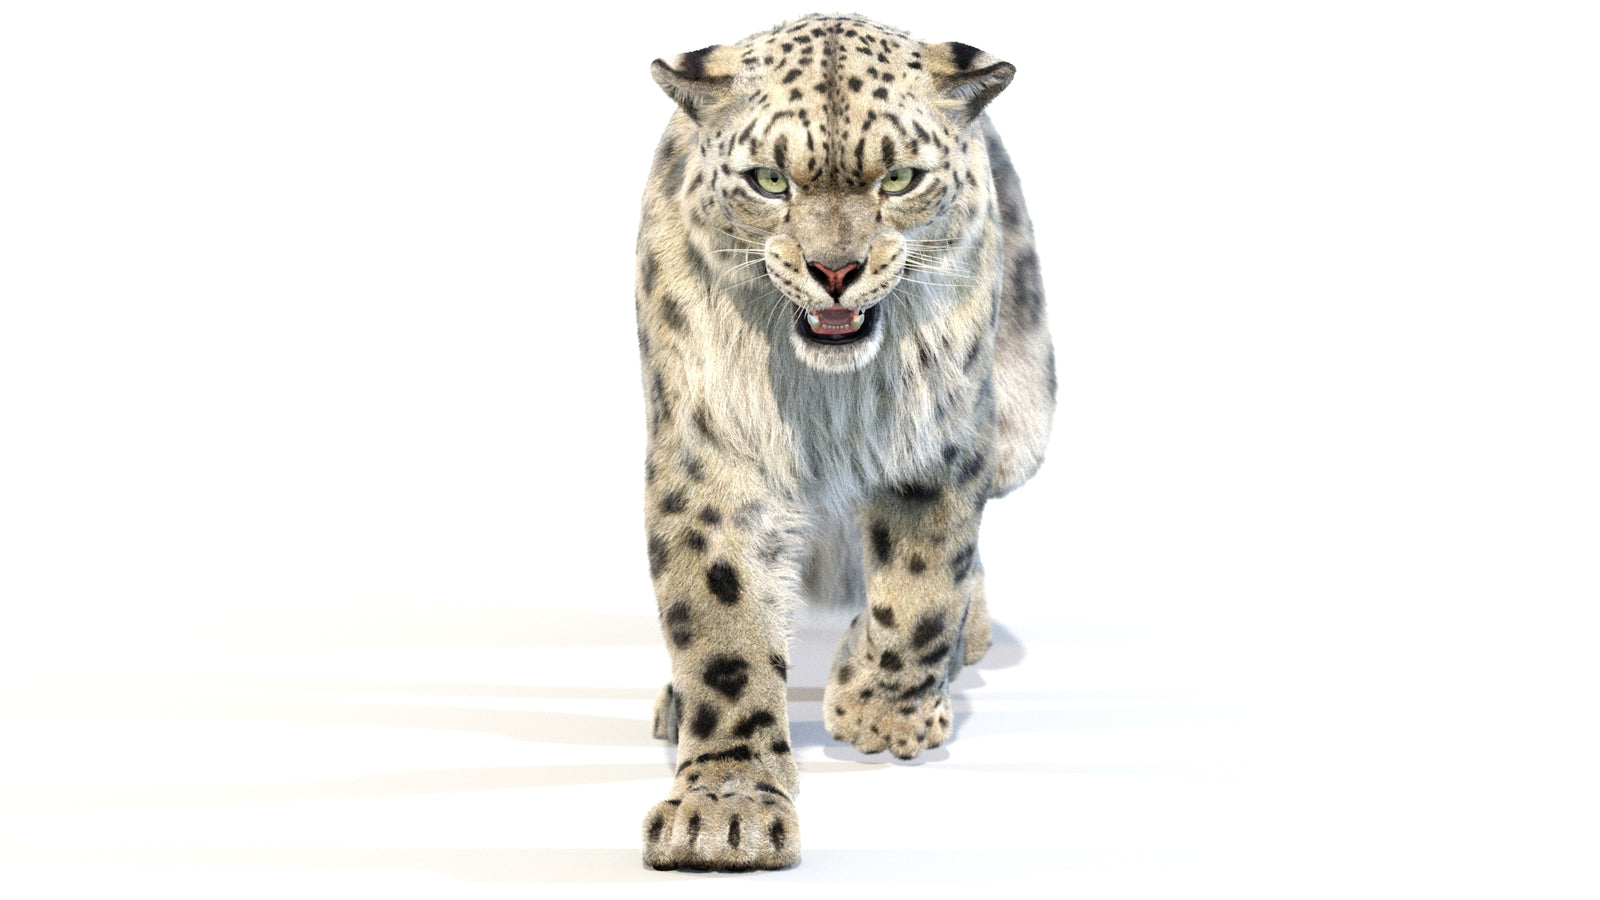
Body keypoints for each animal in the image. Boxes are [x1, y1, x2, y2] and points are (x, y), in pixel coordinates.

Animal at [633, 13, 1054, 871]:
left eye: (899, 180)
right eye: (769, 180)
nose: (835, 270)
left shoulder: (939, 437)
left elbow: (924, 584)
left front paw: (879, 710)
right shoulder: (711, 457)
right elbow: (723, 630)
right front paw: (723, 811)